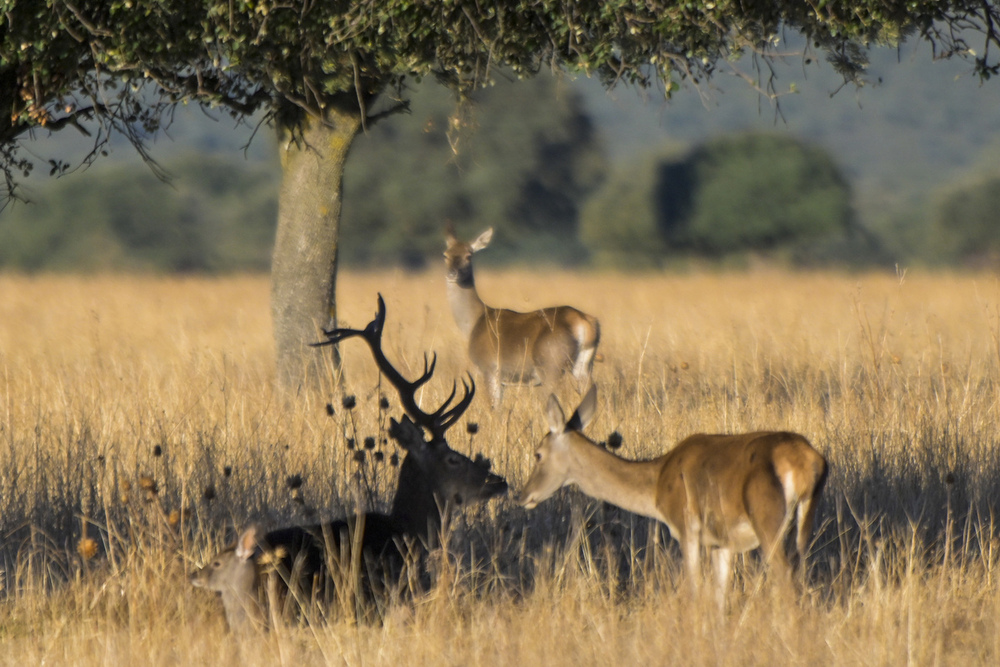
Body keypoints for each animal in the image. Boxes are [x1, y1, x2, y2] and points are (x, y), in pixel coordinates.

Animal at [446, 227, 600, 408]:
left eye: (469, 255)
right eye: (446, 254)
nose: (452, 273)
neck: (474, 321)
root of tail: (582, 321)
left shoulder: (490, 369)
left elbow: (495, 408)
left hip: (550, 365)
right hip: (583, 366)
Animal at [516, 386, 828, 612]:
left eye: (538, 454)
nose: (523, 495)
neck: (657, 484)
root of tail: (809, 463)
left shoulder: (686, 528)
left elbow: (694, 591)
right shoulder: (721, 542)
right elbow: (719, 599)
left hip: (768, 521)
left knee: (787, 582)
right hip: (803, 526)